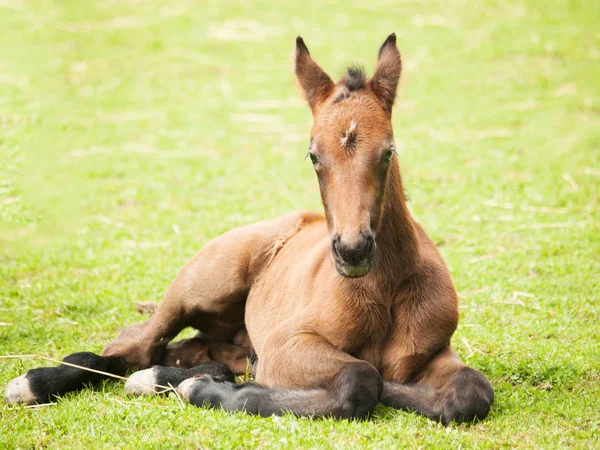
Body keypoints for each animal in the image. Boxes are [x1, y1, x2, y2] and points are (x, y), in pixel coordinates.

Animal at [3, 35, 492, 426]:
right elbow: (361, 377)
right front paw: (215, 390)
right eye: (313, 155)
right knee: (134, 345)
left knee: (186, 352)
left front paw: (212, 386)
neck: (384, 291)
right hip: (201, 283)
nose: (353, 251)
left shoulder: (433, 352)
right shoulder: (287, 344)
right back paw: (35, 383)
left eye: (388, 151)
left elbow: (471, 393)